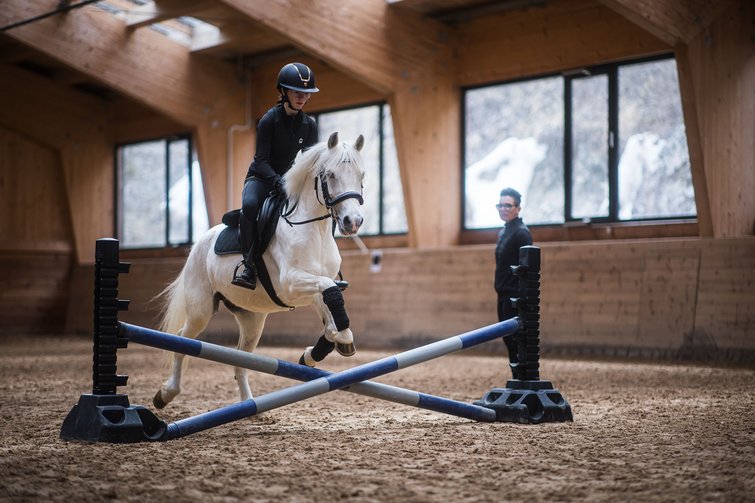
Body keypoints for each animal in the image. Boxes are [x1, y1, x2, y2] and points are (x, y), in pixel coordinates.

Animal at [152, 132, 366, 409]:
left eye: (361, 175)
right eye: (329, 175)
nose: (353, 222)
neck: (313, 229)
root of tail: (199, 243)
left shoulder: (316, 287)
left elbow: (331, 316)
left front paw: (315, 353)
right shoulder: (292, 282)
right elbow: (331, 296)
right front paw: (342, 339)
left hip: (252, 320)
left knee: (240, 361)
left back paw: (249, 404)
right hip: (200, 310)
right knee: (182, 340)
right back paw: (166, 394)